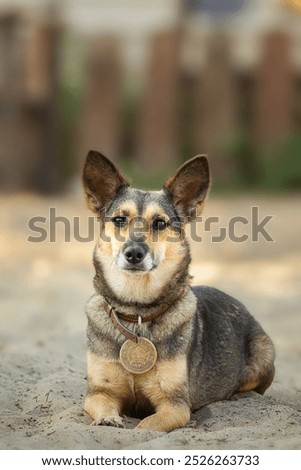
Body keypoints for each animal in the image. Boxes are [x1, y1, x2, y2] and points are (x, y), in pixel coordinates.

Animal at [81, 151, 274, 434]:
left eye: (160, 223)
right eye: (119, 220)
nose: (134, 253)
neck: (137, 312)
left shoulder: (174, 405)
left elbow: (146, 425)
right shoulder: (99, 392)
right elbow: (103, 406)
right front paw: (108, 419)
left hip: (264, 356)